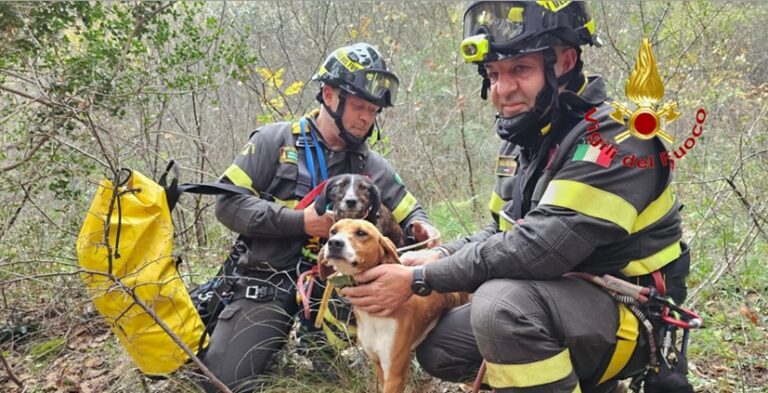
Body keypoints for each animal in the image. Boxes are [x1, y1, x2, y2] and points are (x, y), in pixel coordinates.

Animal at [318, 219, 468, 390]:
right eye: (333, 231)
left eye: (361, 233)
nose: (334, 243)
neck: (373, 317)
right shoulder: (379, 364)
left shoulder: (395, 374)